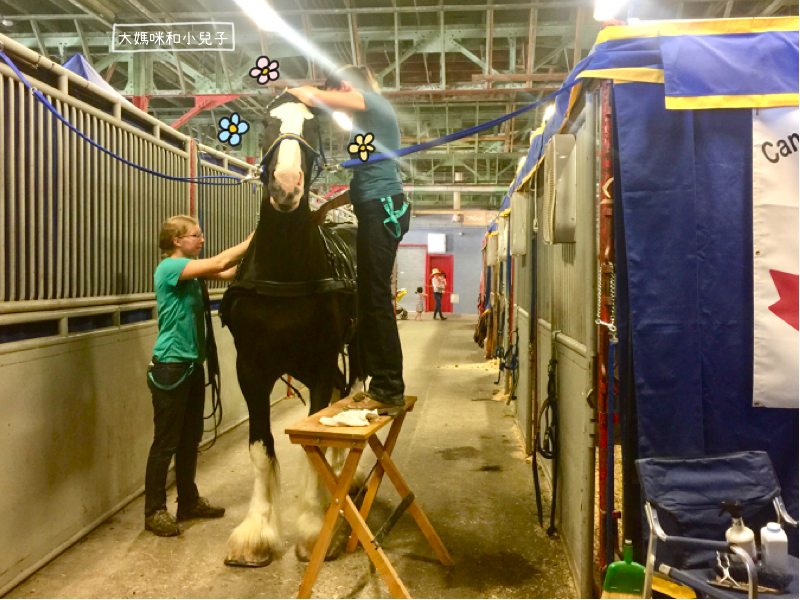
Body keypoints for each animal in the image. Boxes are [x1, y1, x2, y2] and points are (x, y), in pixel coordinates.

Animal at [217, 95, 358, 568]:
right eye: (265, 124)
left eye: (314, 129)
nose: (286, 184)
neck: (282, 272)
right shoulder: (250, 370)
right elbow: (261, 449)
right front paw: (255, 534)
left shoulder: (318, 364)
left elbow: (316, 434)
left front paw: (315, 530)